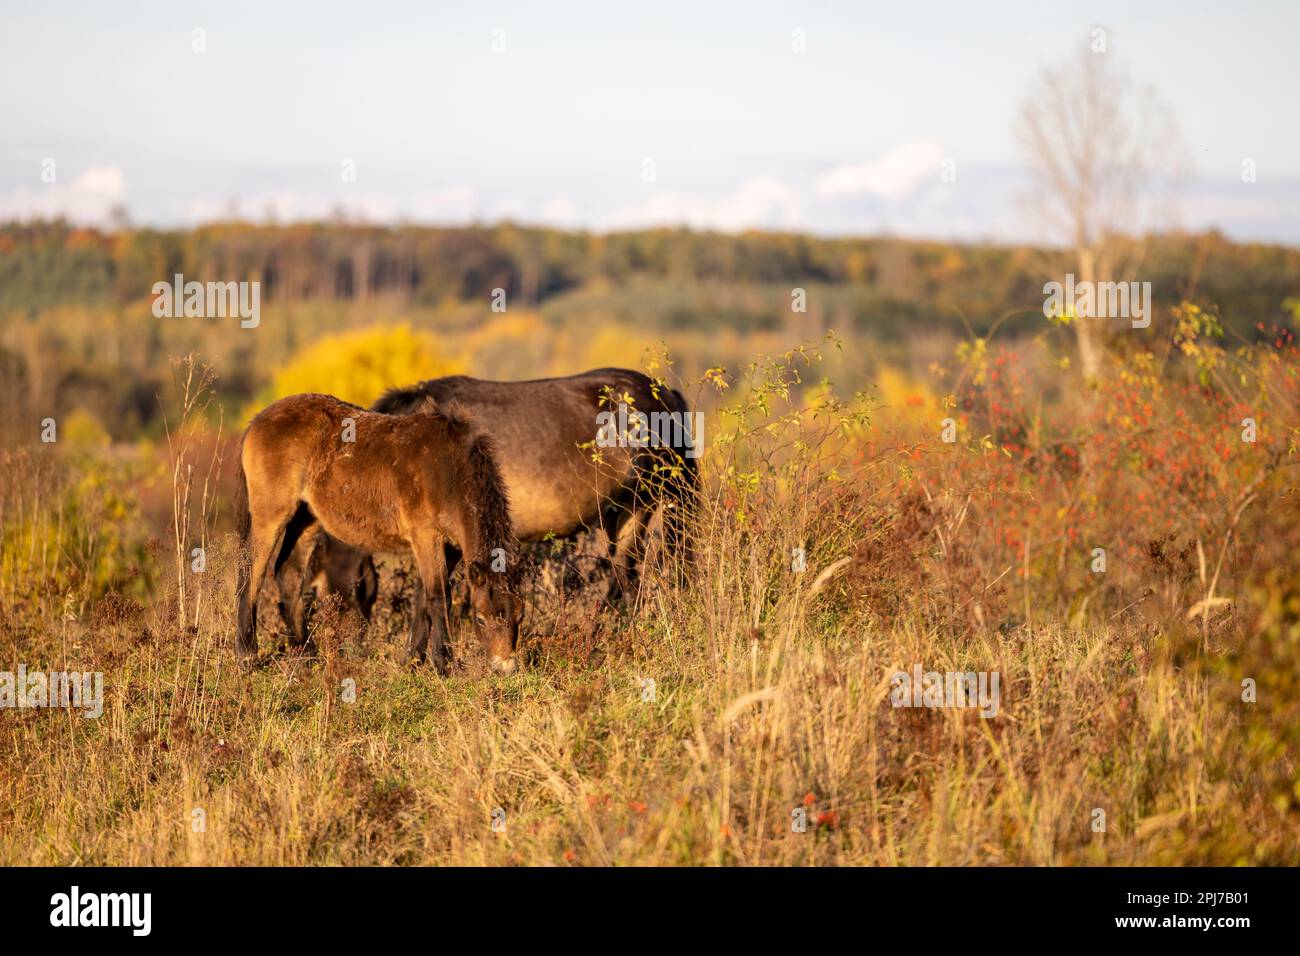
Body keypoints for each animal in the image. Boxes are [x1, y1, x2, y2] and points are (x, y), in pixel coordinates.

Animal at [233, 395, 522, 671]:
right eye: (480, 619)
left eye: (519, 617)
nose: (504, 668)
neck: (449, 471)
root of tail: (257, 421)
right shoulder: (426, 536)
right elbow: (438, 597)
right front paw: (444, 664)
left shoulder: (449, 547)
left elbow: (422, 599)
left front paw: (412, 661)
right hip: (271, 515)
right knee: (252, 572)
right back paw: (246, 654)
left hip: (306, 518)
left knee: (288, 577)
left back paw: (307, 655)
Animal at [274, 369, 702, 647]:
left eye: (315, 596)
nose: (340, 652)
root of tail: (663, 396)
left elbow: (426, 597)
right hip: (625, 513)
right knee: (624, 581)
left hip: (648, 502)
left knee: (631, 580)